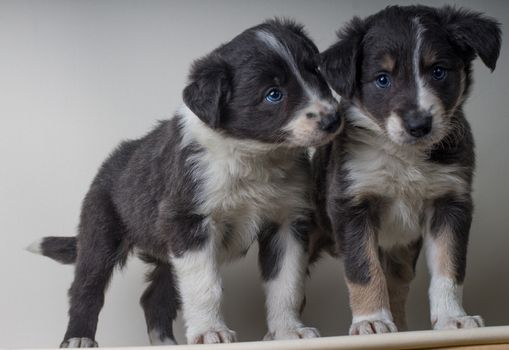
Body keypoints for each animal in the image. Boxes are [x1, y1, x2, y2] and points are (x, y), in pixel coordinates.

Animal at [27, 19, 342, 348]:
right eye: (273, 94)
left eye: (315, 70)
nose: (333, 119)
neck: (253, 157)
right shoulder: (188, 221)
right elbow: (206, 285)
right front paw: (210, 332)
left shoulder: (287, 220)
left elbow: (287, 282)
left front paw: (288, 332)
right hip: (100, 231)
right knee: (86, 287)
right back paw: (78, 337)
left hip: (166, 252)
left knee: (154, 297)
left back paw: (165, 342)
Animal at [314, 5, 500, 334]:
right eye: (382, 79)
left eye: (438, 71)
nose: (418, 125)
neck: (404, 156)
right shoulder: (351, 204)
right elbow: (364, 269)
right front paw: (372, 320)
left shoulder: (451, 203)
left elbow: (449, 266)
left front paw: (453, 318)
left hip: (399, 253)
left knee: (397, 286)